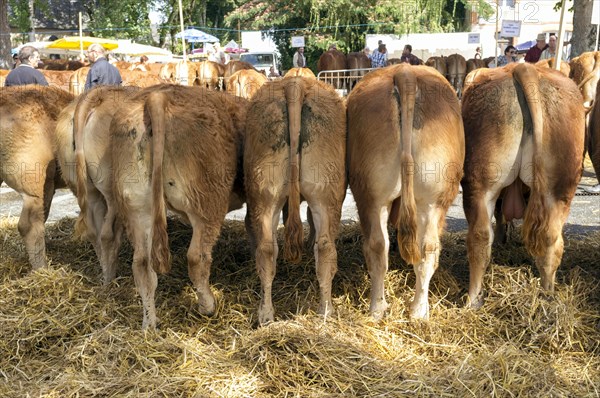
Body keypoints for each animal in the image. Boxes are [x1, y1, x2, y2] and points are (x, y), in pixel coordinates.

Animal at [110, 85, 248, 328]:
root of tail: (157, 96)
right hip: (206, 205)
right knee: (196, 257)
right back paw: (208, 306)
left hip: (138, 208)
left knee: (142, 266)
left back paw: (149, 325)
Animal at [244, 77, 346, 324]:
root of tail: (294, 83)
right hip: (325, 196)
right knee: (325, 247)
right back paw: (325, 311)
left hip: (265, 195)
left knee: (267, 249)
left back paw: (266, 314)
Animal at [346, 65, 464, 320]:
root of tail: (405, 72)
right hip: (425, 199)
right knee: (413, 248)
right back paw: (402, 309)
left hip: (382, 197)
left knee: (388, 247)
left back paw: (393, 309)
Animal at [462, 63, 584, 308]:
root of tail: (523, 67)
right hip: (558, 189)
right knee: (550, 240)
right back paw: (547, 295)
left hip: (481, 186)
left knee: (481, 237)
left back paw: (473, 300)